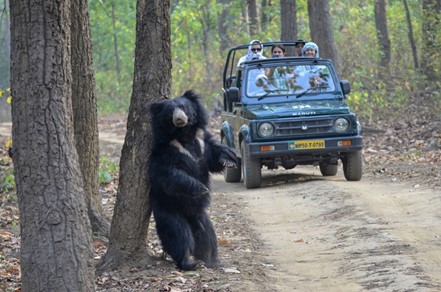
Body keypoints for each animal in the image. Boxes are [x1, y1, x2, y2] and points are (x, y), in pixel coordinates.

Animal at [149, 90, 237, 270]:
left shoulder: (202, 139)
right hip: (168, 210)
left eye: (184, 107)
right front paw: (201, 188)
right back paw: (188, 262)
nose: (180, 119)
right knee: (178, 234)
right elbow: (170, 174)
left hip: (200, 216)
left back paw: (212, 260)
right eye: (170, 112)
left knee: (207, 235)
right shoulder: (166, 151)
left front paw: (229, 160)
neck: (183, 135)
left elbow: (214, 154)